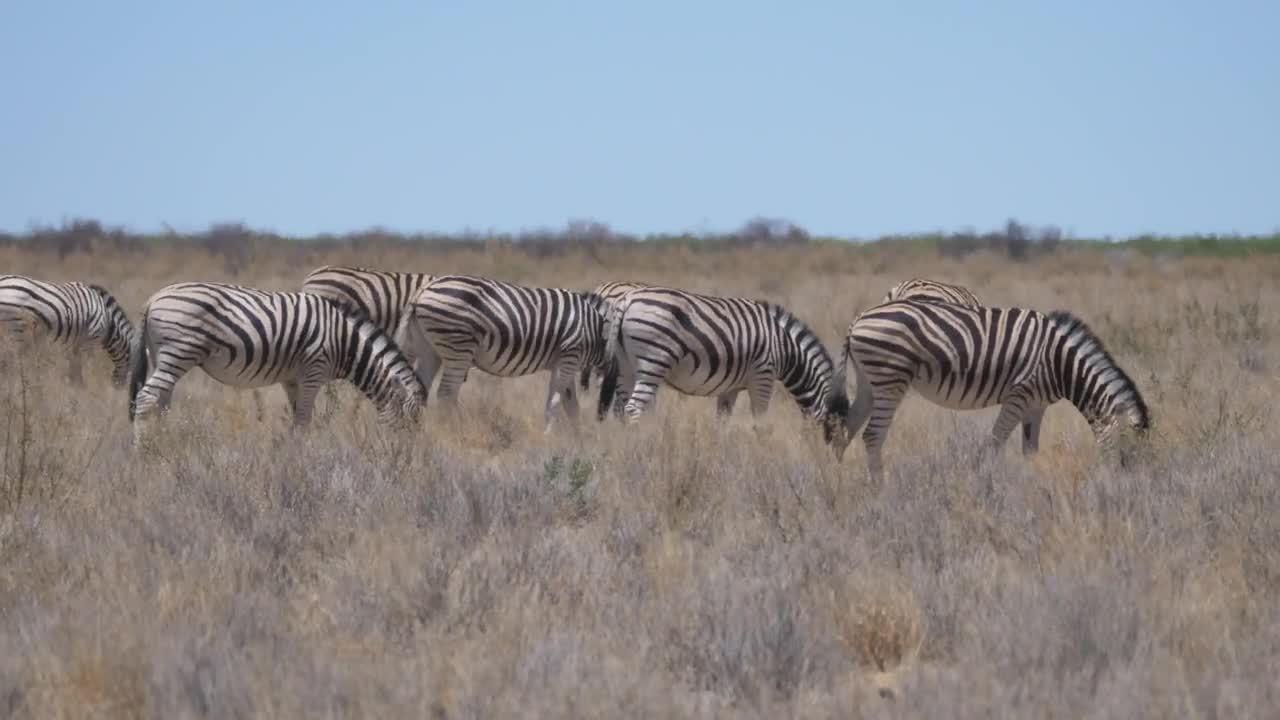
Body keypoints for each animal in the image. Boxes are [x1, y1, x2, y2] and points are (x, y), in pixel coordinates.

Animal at [0, 274, 135, 386]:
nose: (119, 390)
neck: (108, 319)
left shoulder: (76, 342)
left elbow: (74, 367)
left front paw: (75, 388)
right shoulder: (91, 338)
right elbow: (85, 366)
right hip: (17, 329)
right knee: (12, 365)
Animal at [128, 282, 427, 441]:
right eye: (410, 424)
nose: (403, 458)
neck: (344, 341)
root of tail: (152, 299)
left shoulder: (292, 379)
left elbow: (297, 419)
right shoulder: (314, 371)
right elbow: (304, 420)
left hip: (160, 355)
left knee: (160, 403)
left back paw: (163, 445)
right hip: (178, 353)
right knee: (145, 398)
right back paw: (143, 450)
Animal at [407, 275, 609, 430]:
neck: (596, 332)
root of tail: (423, 291)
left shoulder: (567, 362)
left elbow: (572, 406)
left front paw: (577, 439)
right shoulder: (569, 355)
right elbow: (556, 402)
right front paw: (550, 437)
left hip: (429, 350)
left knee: (418, 390)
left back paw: (417, 431)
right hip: (458, 346)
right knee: (446, 393)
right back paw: (453, 430)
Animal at [595, 286, 848, 428]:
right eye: (835, 428)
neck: (785, 348)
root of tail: (626, 299)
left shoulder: (731, 387)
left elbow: (722, 422)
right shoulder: (763, 376)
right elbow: (760, 423)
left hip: (625, 367)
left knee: (620, 409)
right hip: (653, 362)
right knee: (633, 408)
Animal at [823, 299, 1150, 483]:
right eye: (1128, 447)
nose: (1126, 486)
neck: (1061, 364)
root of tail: (859, 318)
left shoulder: (1037, 404)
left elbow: (1029, 449)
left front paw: (1030, 483)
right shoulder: (1020, 395)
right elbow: (996, 442)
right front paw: (987, 481)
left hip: (869, 383)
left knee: (845, 429)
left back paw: (836, 481)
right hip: (890, 380)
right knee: (871, 436)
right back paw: (880, 488)